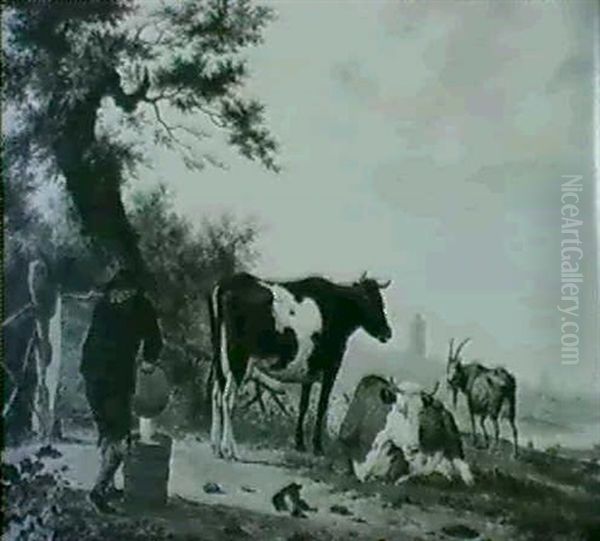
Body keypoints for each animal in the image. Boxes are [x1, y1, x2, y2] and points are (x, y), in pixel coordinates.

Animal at [209, 272, 392, 458]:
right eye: (372, 300)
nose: (387, 332)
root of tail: (228, 283)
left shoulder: (308, 372)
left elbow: (303, 406)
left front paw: (300, 444)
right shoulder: (330, 369)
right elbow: (321, 407)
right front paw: (317, 447)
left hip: (220, 359)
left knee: (216, 395)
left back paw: (216, 446)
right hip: (239, 360)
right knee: (228, 398)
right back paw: (229, 449)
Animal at [338, 374, 474, 484]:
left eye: (421, 412)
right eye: (400, 409)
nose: (413, 449)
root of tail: (442, 407)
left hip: (453, 439)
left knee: (461, 464)